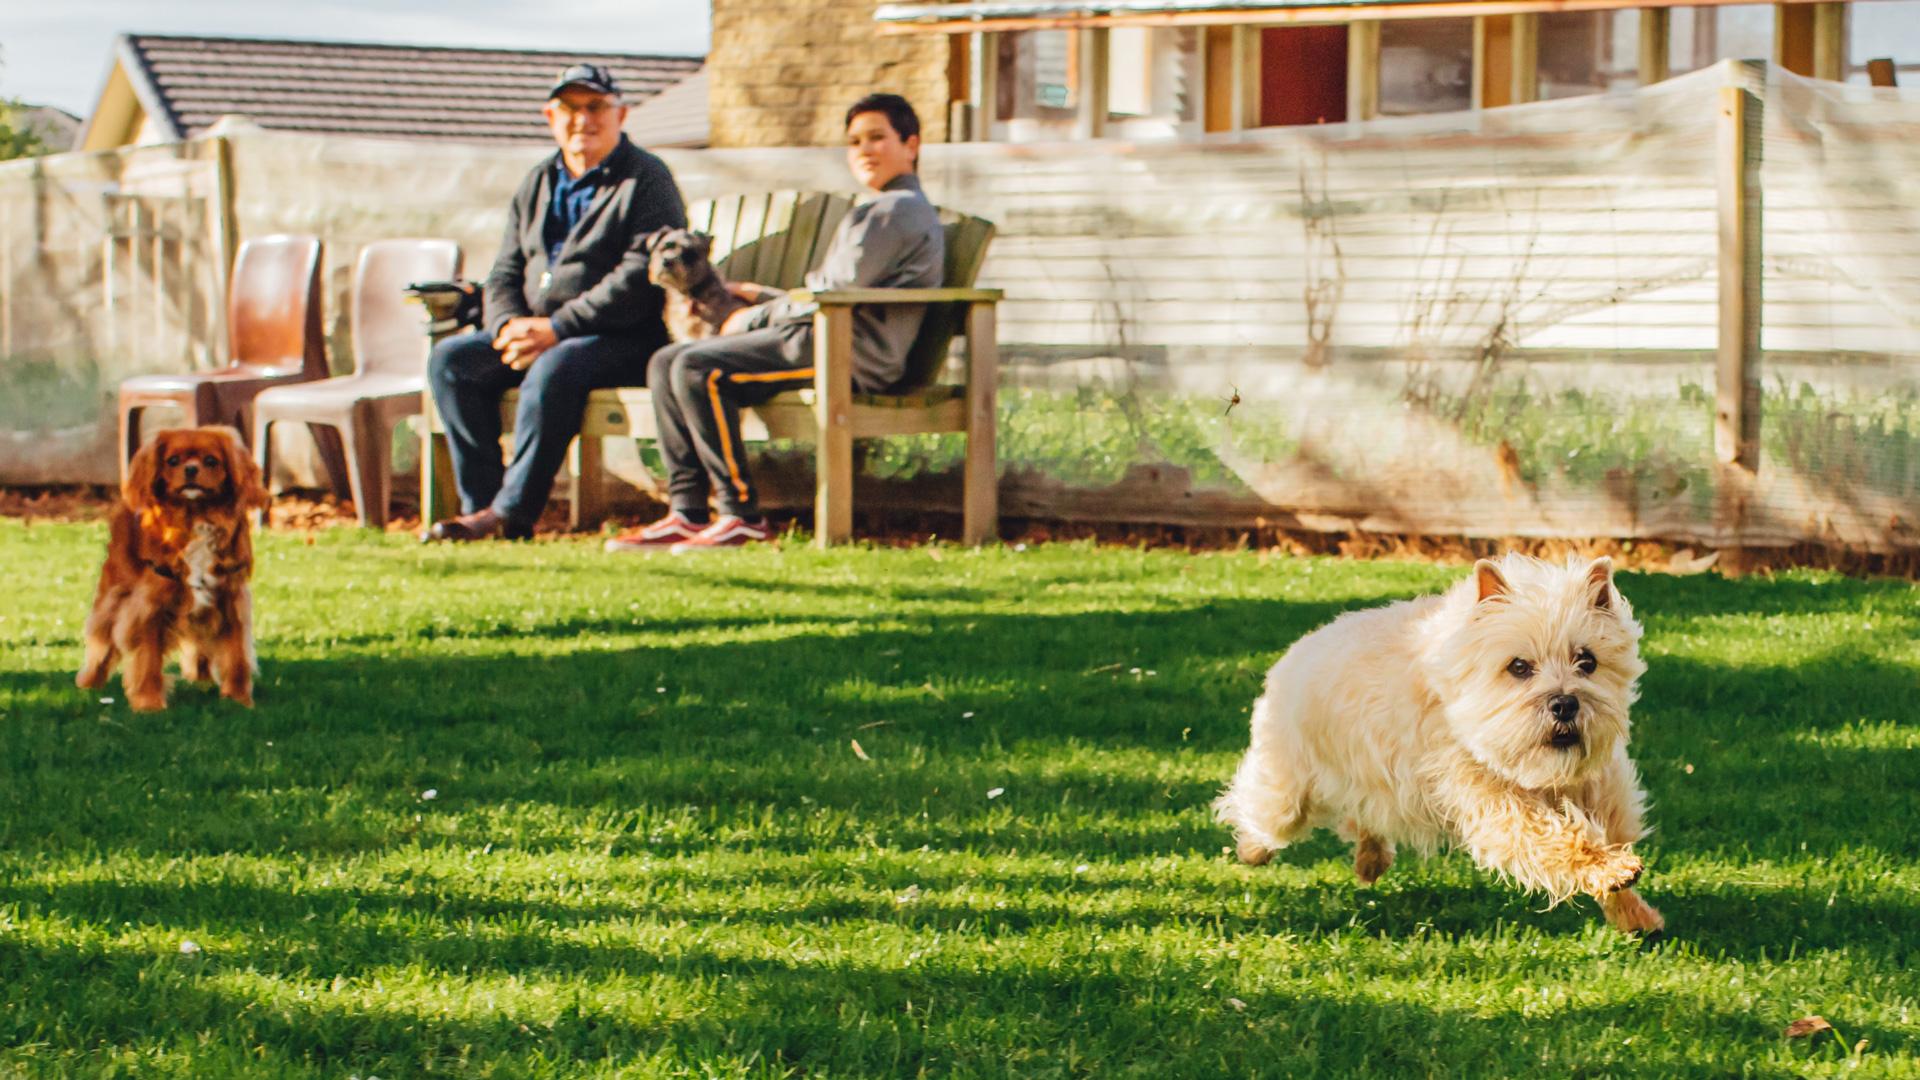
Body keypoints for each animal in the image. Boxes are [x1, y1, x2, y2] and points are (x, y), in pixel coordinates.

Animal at [76, 424, 270, 711]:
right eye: (173, 461)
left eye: (211, 461)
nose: (190, 469)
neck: (195, 516)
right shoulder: (149, 607)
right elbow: (148, 660)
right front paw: (149, 704)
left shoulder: (231, 601)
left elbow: (237, 657)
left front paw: (238, 700)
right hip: (113, 597)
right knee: (102, 640)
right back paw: (90, 682)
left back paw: (201, 676)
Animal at [1221, 549, 1658, 930]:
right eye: (1519, 666)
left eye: (1587, 661)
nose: (1565, 704)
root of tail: (1297, 648)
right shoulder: (1491, 797)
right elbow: (1550, 835)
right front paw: (1609, 869)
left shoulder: (1600, 785)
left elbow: (1609, 833)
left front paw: (1633, 910)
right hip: (1287, 790)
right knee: (1257, 806)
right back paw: (1251, 849)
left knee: (1362, 817)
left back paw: (1370, 859)